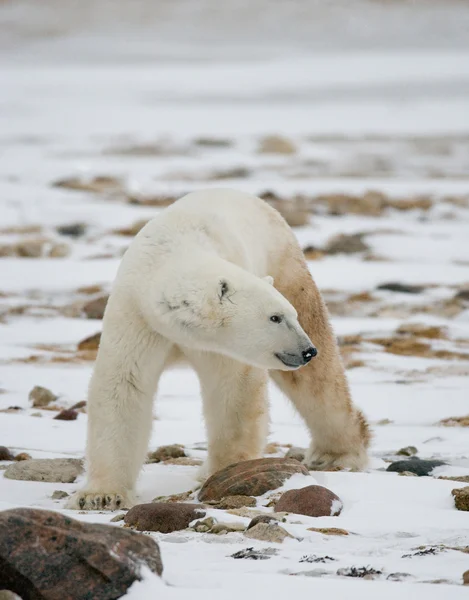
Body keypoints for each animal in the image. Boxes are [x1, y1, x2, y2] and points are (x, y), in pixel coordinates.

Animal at [68, 189, 370, 510]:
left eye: (289, 315)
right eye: (275, 317)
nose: (307, 350)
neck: (172, 252)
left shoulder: (221, 343)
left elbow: (234, 390)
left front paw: (223, 471)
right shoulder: (137, 315)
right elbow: (124, 386)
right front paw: (100, 496)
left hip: (286, 266)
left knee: (317, 382)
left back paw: (335, 454)